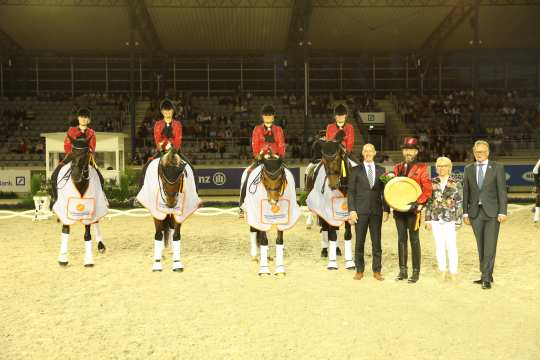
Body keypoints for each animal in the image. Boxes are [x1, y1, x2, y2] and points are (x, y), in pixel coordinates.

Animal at [52, 138, 107, 268]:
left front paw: (88, 260)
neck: (80, 184)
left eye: (86, 153)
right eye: (72, 151)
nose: (75, 175)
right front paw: (63, 258)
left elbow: (87, 235)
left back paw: (101, 245)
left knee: (96, 222)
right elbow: (65, 230)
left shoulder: (89, 208)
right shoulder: (64, 208)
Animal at [306, 140, 356, 270]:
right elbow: (332, 234)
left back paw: (337, 249)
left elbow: (347, 234)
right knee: (324, 227)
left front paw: (350, 262)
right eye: (324, 160)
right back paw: (324, 250)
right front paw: (332, 263)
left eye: (338, 158)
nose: (332, 185)